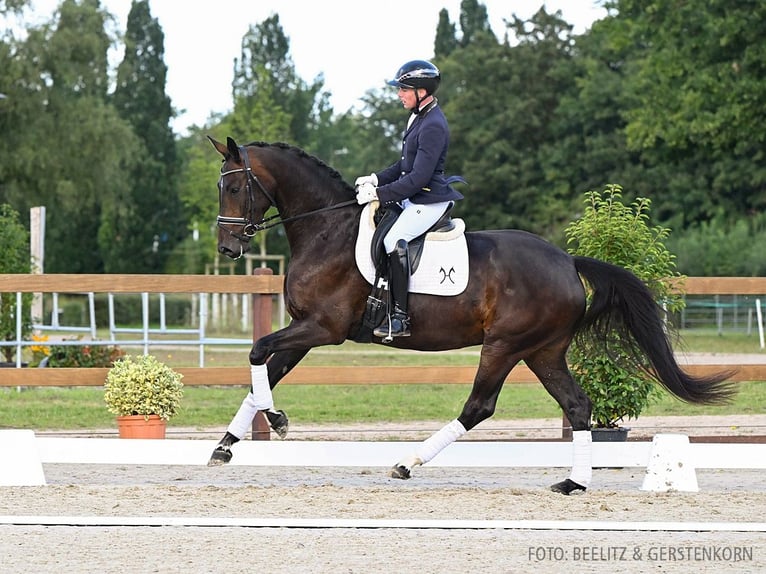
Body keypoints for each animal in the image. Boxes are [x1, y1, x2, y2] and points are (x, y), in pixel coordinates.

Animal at [207, 136, 736, 496]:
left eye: (233, 186)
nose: (228, 248)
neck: (325, 229)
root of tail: (567, 262)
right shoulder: (305, 331)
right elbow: (264, 370)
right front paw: (228, 443)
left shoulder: (323, 328)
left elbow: (256, 352)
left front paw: (276, 420)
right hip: (543, 351)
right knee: (577, 405)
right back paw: (573, 483)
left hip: (504, 346)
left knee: (479, 406)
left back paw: (408, 462)